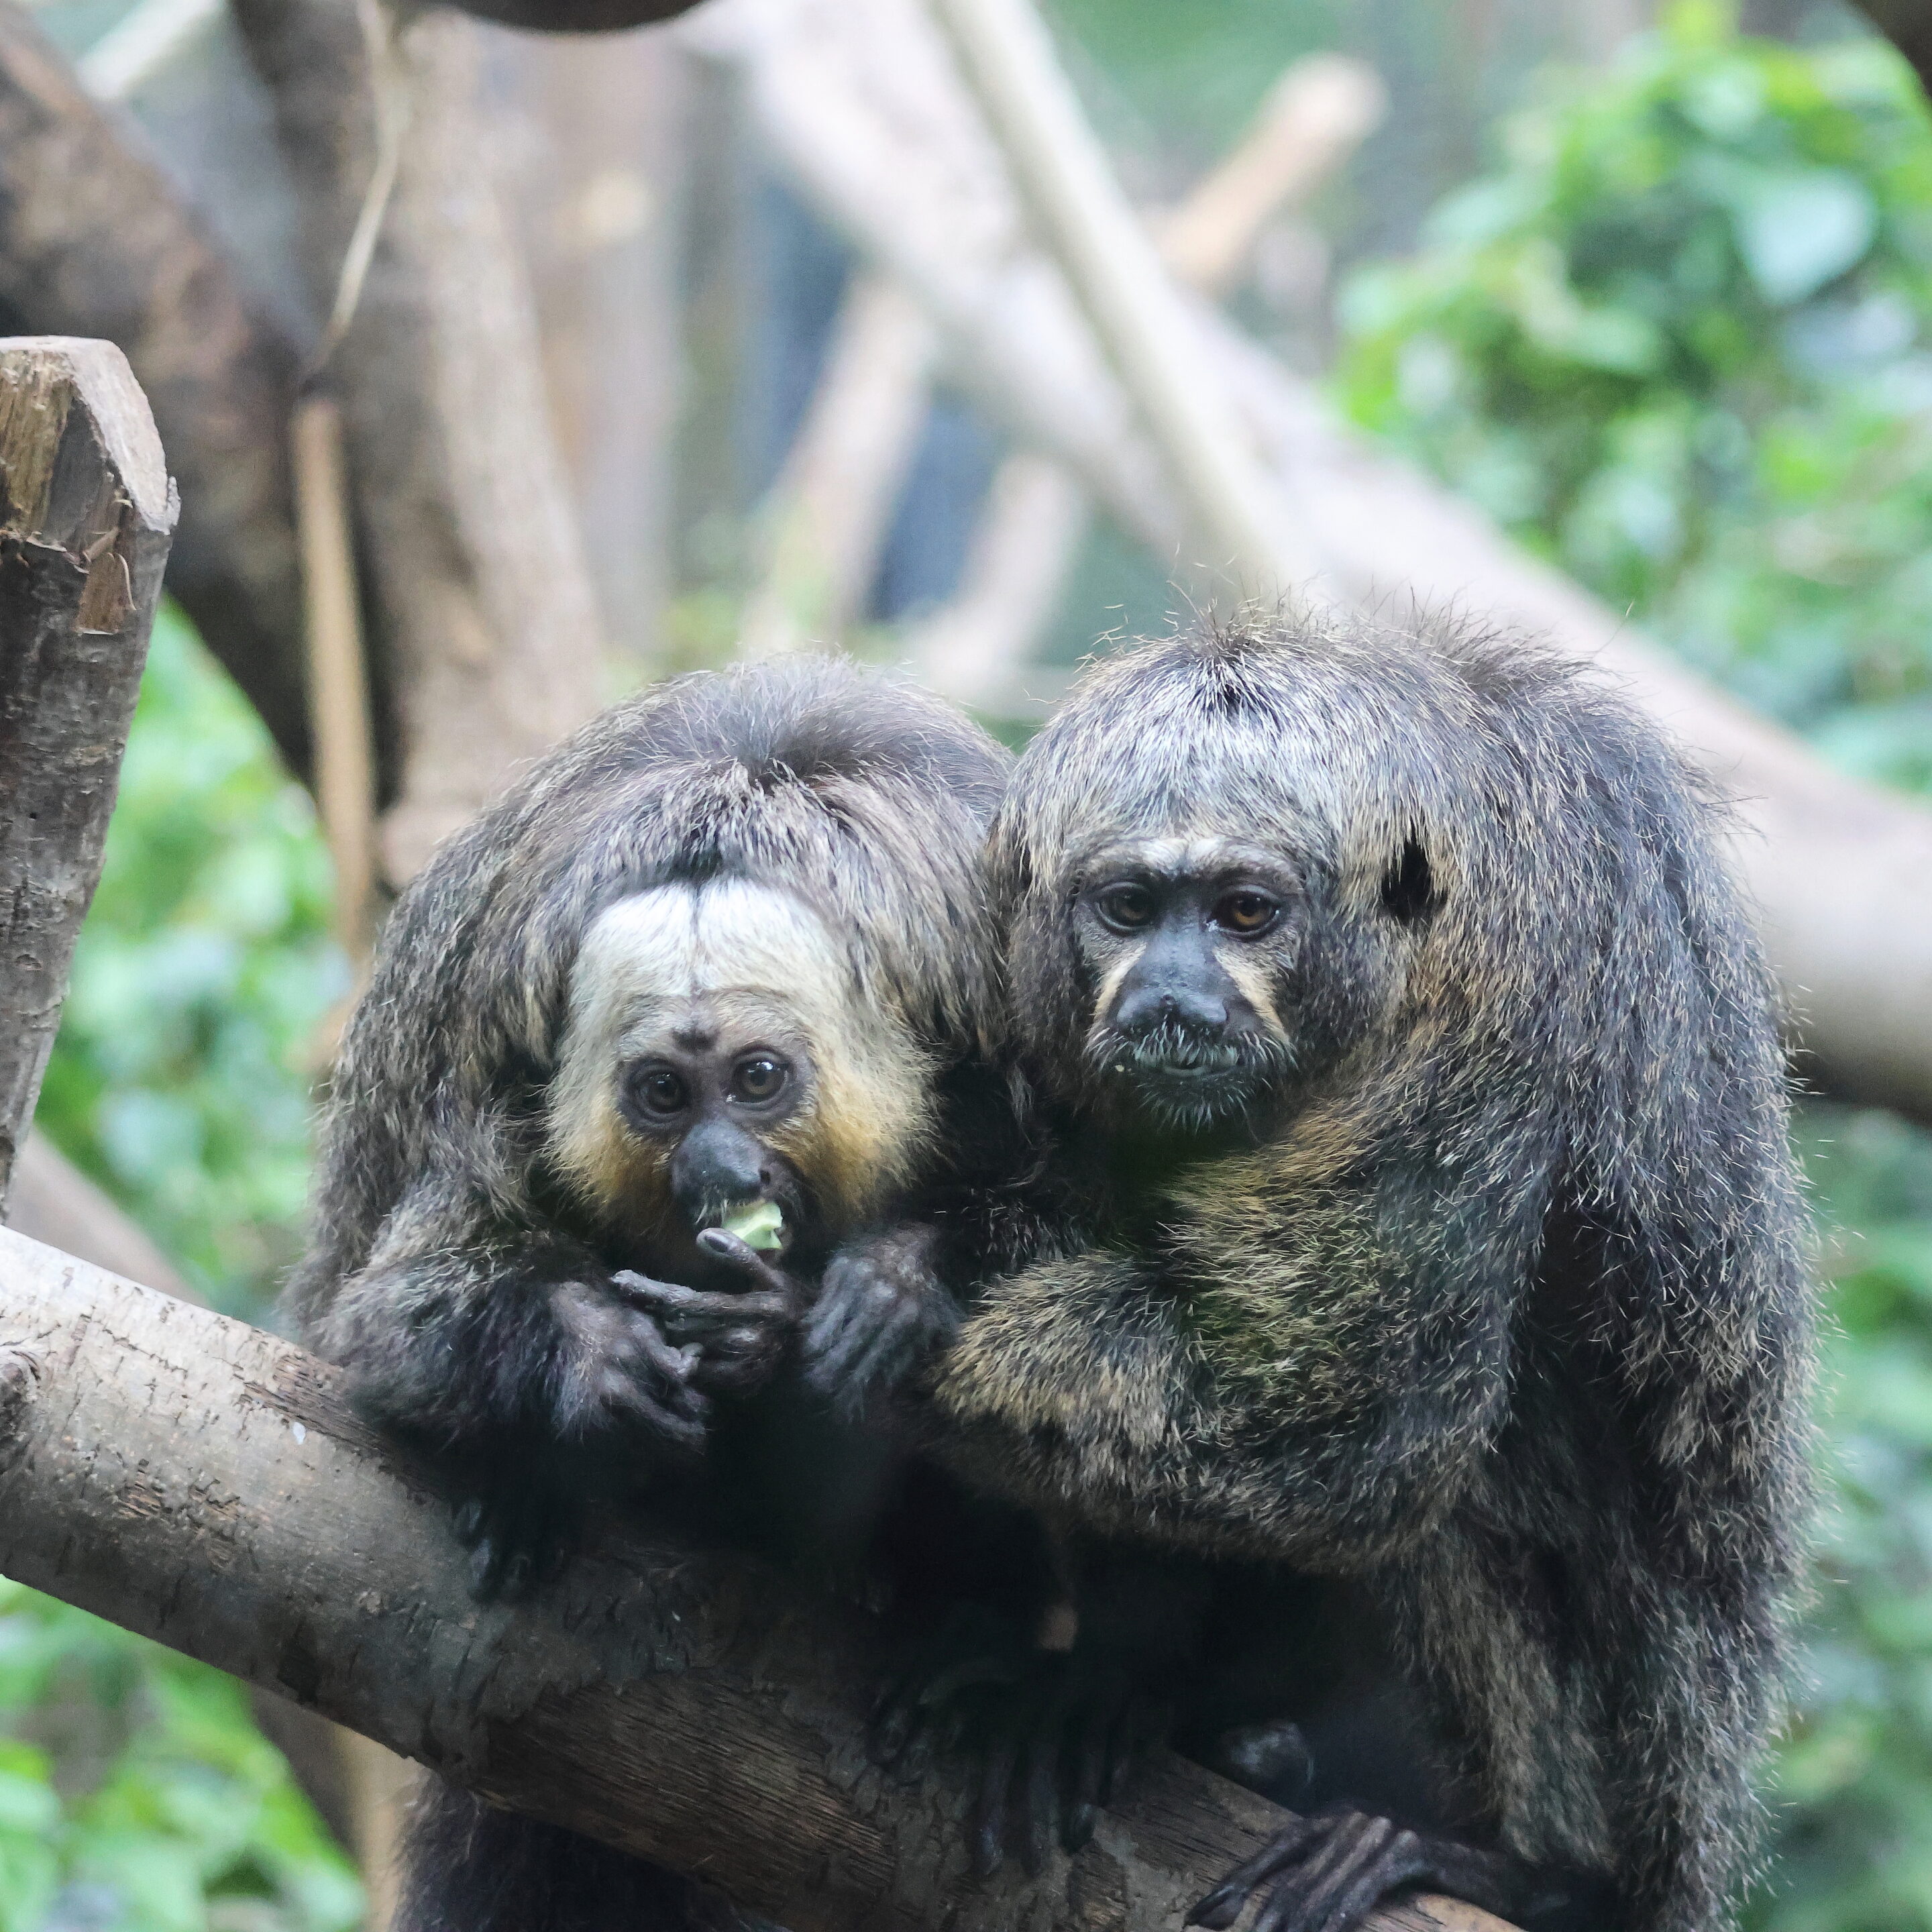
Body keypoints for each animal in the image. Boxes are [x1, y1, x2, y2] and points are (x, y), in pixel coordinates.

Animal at [286, 655, 1047, 1932]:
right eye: (661, 1095)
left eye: (758, 1080)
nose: (721, 1172)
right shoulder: (484, 1047)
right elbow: (386, 1320)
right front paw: (587, 1360)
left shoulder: (1004, 1007)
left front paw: (878, 1297)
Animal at [841, 613, 1814, 1932]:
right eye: (1130, 907)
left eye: (1246, 912)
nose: (1173, 996)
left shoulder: (1504, 999)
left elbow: (1342, 1422)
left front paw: (840, 1296)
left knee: (1470, 1472)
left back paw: (1519, 1866)